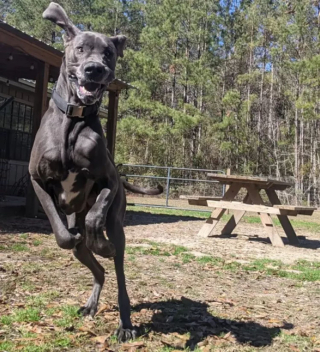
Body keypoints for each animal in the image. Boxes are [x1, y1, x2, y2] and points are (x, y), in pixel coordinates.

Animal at [28, 2, 162, 340]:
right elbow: (60, 229)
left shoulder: (109, 180)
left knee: (117, 268)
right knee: (96, 266)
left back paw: (125, 322)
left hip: (119, 228)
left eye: (108, 54)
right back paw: (90, 303)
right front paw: (73, 236)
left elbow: (95, 214)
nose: (95, 69)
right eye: (80, 49)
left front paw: (99, 240)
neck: (73, 120)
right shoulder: (36, 179)